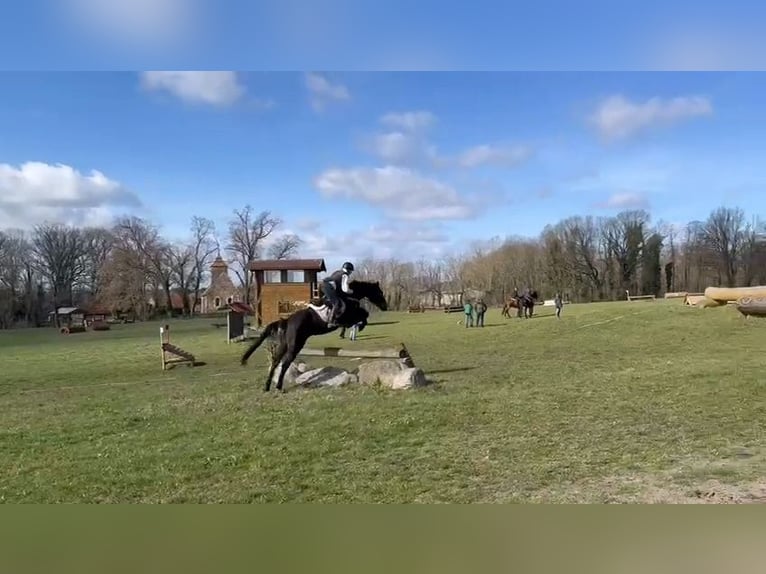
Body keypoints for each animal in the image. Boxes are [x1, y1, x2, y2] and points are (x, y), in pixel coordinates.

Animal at [240, 280, 388, 392]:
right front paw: (361, 325)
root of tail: (288, 320)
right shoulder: (348, 316)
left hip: (284, 344)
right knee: (285, 363)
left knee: (276, 361)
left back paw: (267, 386)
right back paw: (278, 386)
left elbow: (362, 315)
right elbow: (363, 314)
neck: (348, 297)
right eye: (379, 292)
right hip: (296, 345)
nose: (385, 307)